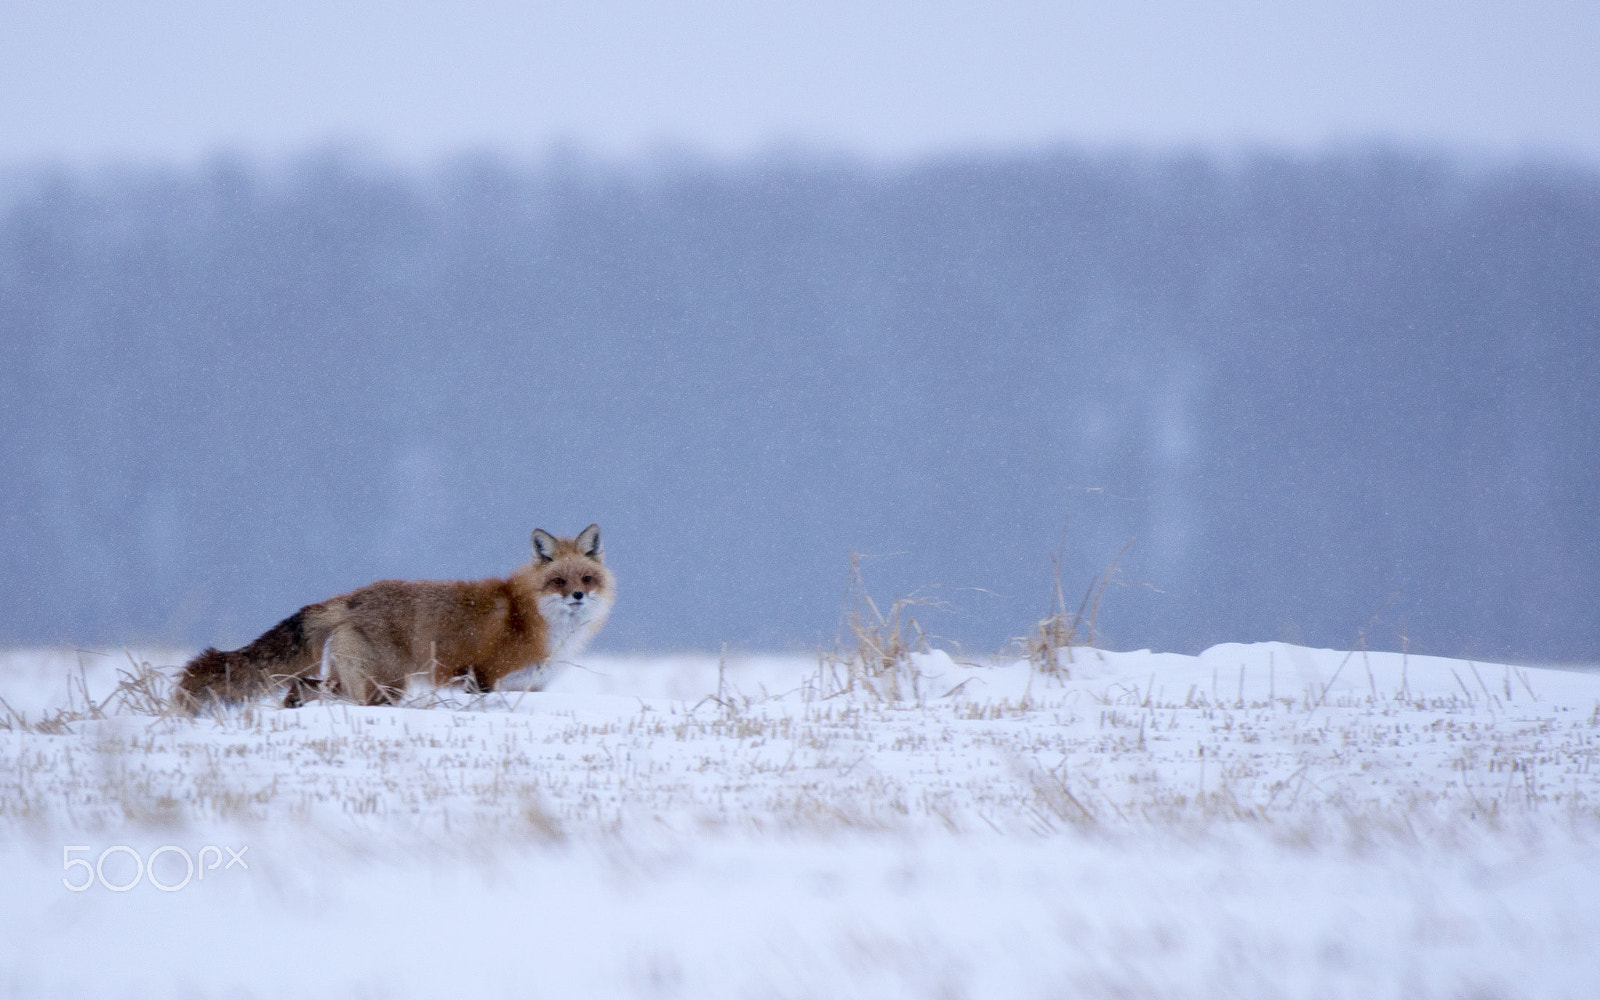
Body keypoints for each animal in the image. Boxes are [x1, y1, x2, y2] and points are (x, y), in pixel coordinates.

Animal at [173, 524, 613, 711]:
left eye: (587, 579)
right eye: (558, 581)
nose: (578, 595)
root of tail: (350, 597)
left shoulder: (524, 685)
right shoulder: (482, 679)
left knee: (300, 686)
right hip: (384, 686)